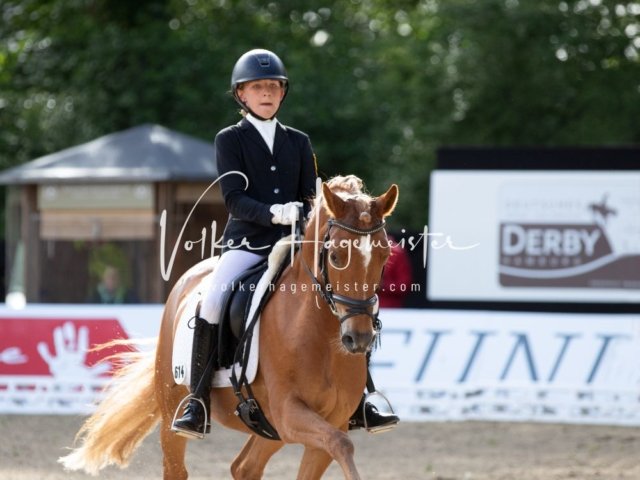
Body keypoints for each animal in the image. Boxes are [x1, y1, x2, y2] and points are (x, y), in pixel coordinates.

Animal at [59, 175, 399, 480]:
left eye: (384, 256)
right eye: (337, 256)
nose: (359, 338)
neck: (320, 334)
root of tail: (188, 278)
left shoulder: (330, 421)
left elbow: (337, 445)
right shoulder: (289, 413)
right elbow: (341, 445)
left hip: (267, 428)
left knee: (244, 467)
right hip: (174, 413)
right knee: (177, 469)